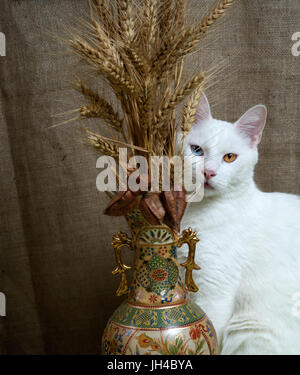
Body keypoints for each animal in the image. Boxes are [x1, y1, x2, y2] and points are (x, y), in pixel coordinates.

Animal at [178, 93, 300, 356]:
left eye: (229, 157)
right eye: (197, 150)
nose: (208, 172)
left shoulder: (215, 291)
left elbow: (210, 336)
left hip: (247, 327)